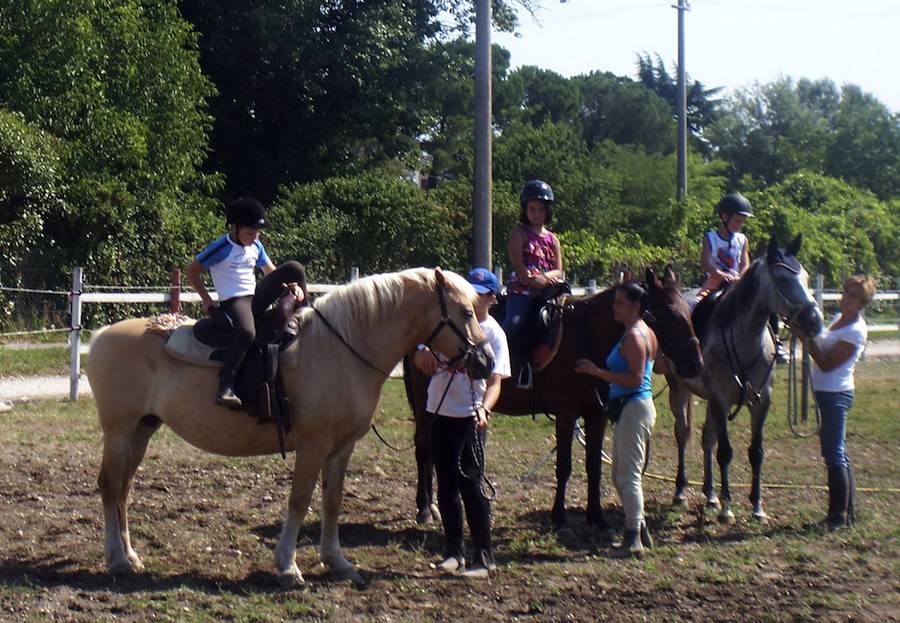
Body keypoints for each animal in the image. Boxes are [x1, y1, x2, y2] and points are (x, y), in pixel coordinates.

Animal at [89, 266, 496, 584]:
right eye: (465, 312)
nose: (487, 361)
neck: (341, 347)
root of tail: (101, 336)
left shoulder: (341, 448)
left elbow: (332, 501)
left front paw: (337, 561)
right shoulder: (313, 446)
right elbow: (300, 501)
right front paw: (287, 566)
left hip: (142, 429)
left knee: (123, 489)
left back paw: (129, 556)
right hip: (119, 430)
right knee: (110, 486)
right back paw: (118, 559)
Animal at [404, 266, 708, 532]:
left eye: (688, 311)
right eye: (670, 314)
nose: (696, 365)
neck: (587, 336)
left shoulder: (596, 415)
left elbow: (594, 466)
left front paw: (596, 517)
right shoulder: (566, 414)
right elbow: (564, 466)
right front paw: (559, 517)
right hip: (424, 404)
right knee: (423, 449)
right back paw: (425, 508)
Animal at [668, 236, 824, 524]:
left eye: (807, 277)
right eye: (782, 279)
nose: (814, 321)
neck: (745, 340)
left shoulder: (761, 401)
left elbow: (756, 452)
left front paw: (757, 507)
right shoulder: (721, 398)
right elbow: (725, 452)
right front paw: (728, 508)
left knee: (707, 437)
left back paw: (710, 496)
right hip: (680, 389)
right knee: (683, 434)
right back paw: (682, 491)